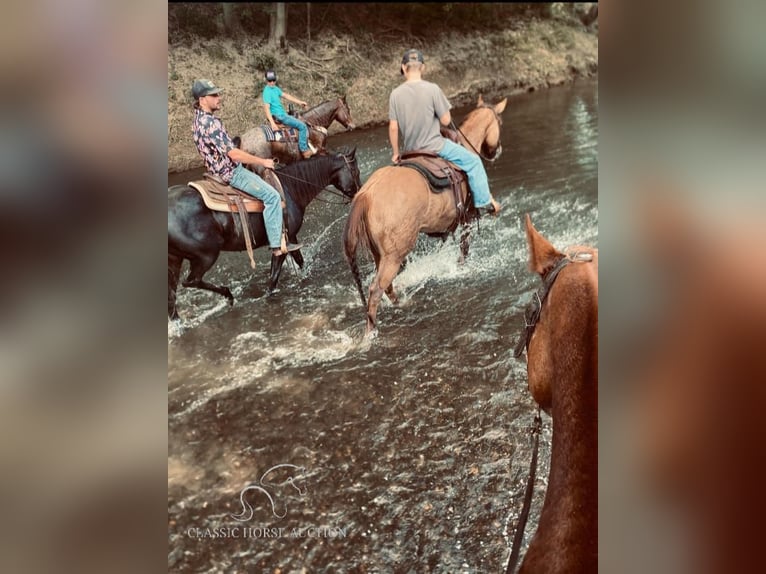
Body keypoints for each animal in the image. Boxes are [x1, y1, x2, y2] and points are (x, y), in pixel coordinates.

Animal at [168, 148, 360, 322]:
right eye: (355, 171)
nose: (359, 194)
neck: (290, 189)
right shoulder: (281, 245)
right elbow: (273, 278)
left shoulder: (291, 238)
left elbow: (299, 260)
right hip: (206, 255)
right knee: (190, 281)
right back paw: (228, 295)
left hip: (175, 259)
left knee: (172, 294)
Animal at [344, 95, 508, 338]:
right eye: (500, 123)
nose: (497, 151)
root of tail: (366, 194)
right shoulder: (467, 219)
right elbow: (464, 249)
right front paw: (462, 268)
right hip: (394, 256)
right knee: (376, 289)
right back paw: (371, 332)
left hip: (380, 254)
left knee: (386, 287)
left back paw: (401, 304)